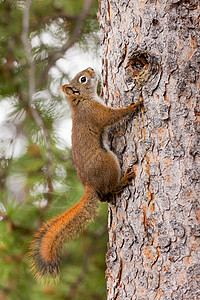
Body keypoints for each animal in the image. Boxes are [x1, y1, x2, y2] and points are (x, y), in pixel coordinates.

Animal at [29, 67, 142, 282]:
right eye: (83, 79)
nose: (91, 69)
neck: (82, 101)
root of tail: (90, 185)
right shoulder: (96, 113)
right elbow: (111, 116)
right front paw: (133, 106)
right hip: (108, 162)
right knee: (111, 188)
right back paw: (124, 179)